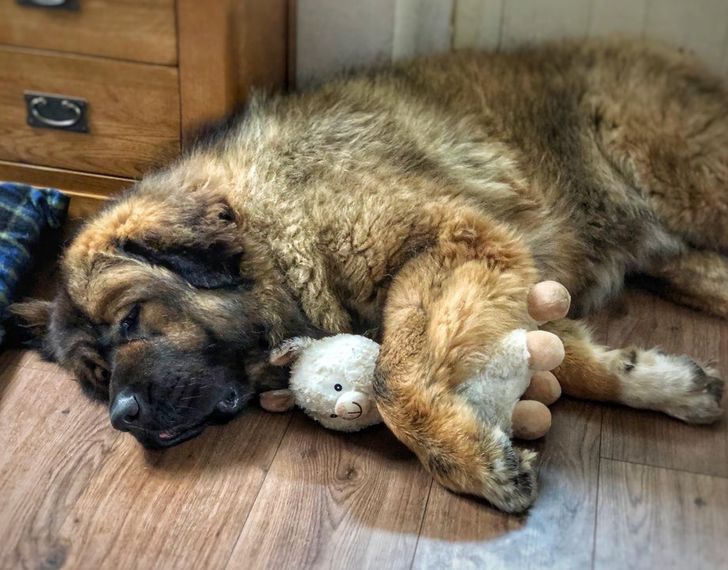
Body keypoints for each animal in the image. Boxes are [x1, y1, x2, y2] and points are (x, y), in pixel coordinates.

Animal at [12, 40, 728, 510]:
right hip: (673, 250)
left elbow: (392, 379)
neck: (276, 224)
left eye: (133, 319)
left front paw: (470, 465)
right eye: (95, 378)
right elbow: (562, 356)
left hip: (683, 184)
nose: (122, 418)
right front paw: (666, 383)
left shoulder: (455, 241)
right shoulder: (505, 278)